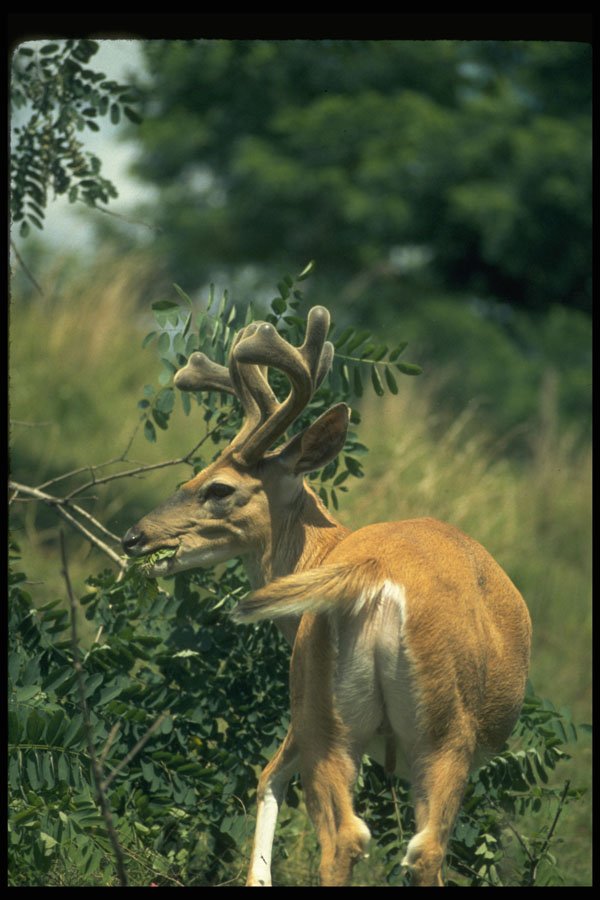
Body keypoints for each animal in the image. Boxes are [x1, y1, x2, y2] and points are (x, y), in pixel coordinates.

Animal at [122, 306, 532, 887]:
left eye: (217, 488)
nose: (133, 537)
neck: (329, 548)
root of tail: (372, 573)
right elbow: (268, 777)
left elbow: (266, 779)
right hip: (437, 728)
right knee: (393, 842)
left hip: (326, 703)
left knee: (350, 831)